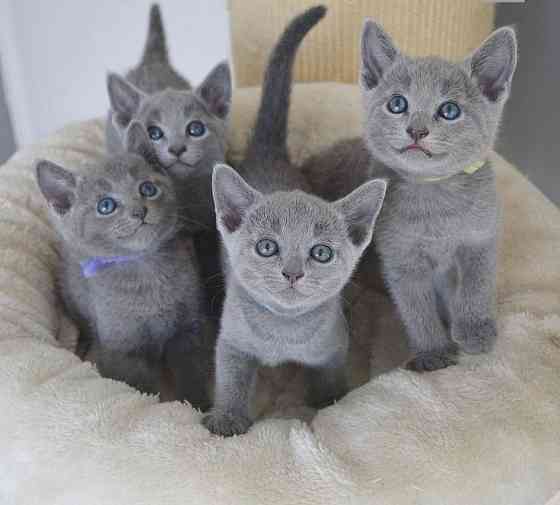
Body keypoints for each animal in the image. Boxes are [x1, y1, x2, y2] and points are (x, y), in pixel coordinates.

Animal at [35, 122, 213, 410]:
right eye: (105, 205)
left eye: (147, 189)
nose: (140, 211)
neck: (146, 272)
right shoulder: (123, 349)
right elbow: (138, 387)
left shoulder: (189, 331)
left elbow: (192, 374)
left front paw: (197, 407)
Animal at [201, 4, 390, 438]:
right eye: (267, 247)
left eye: (321, 253)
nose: (292, 272)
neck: (282, 332)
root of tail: (270, 153)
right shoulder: (231, 340)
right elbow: (231, 378)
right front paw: (226, 419)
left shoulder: (334, 347)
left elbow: (330, 377)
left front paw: (328, 404)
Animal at [304, 22, 520, 370]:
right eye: (397, 104)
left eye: (449, 110)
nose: (416, 130)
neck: (435, 198)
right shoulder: (401, 258)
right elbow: (416, 307)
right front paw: (433, 352)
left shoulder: (481, 238)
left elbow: (477, 284)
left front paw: (475, 329)